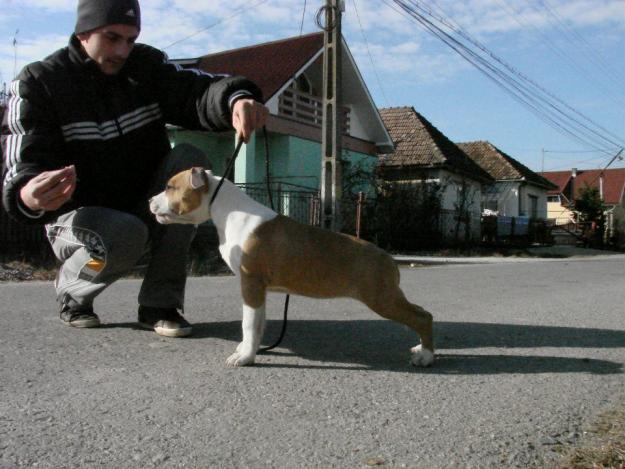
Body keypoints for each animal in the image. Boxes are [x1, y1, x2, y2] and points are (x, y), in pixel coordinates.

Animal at [151, 166, 434, 368]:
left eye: (169, 187)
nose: (149, 200)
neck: (228, 211)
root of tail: (387, 257)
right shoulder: (258, 290)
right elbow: (258, 323)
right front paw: (248, 350)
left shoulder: (250, 283)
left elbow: (247, 323)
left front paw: (245, 358)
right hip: (386, 296)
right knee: (421, 313)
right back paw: (421, 349)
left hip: (380, 297)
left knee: (422, 317)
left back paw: (426, 356)